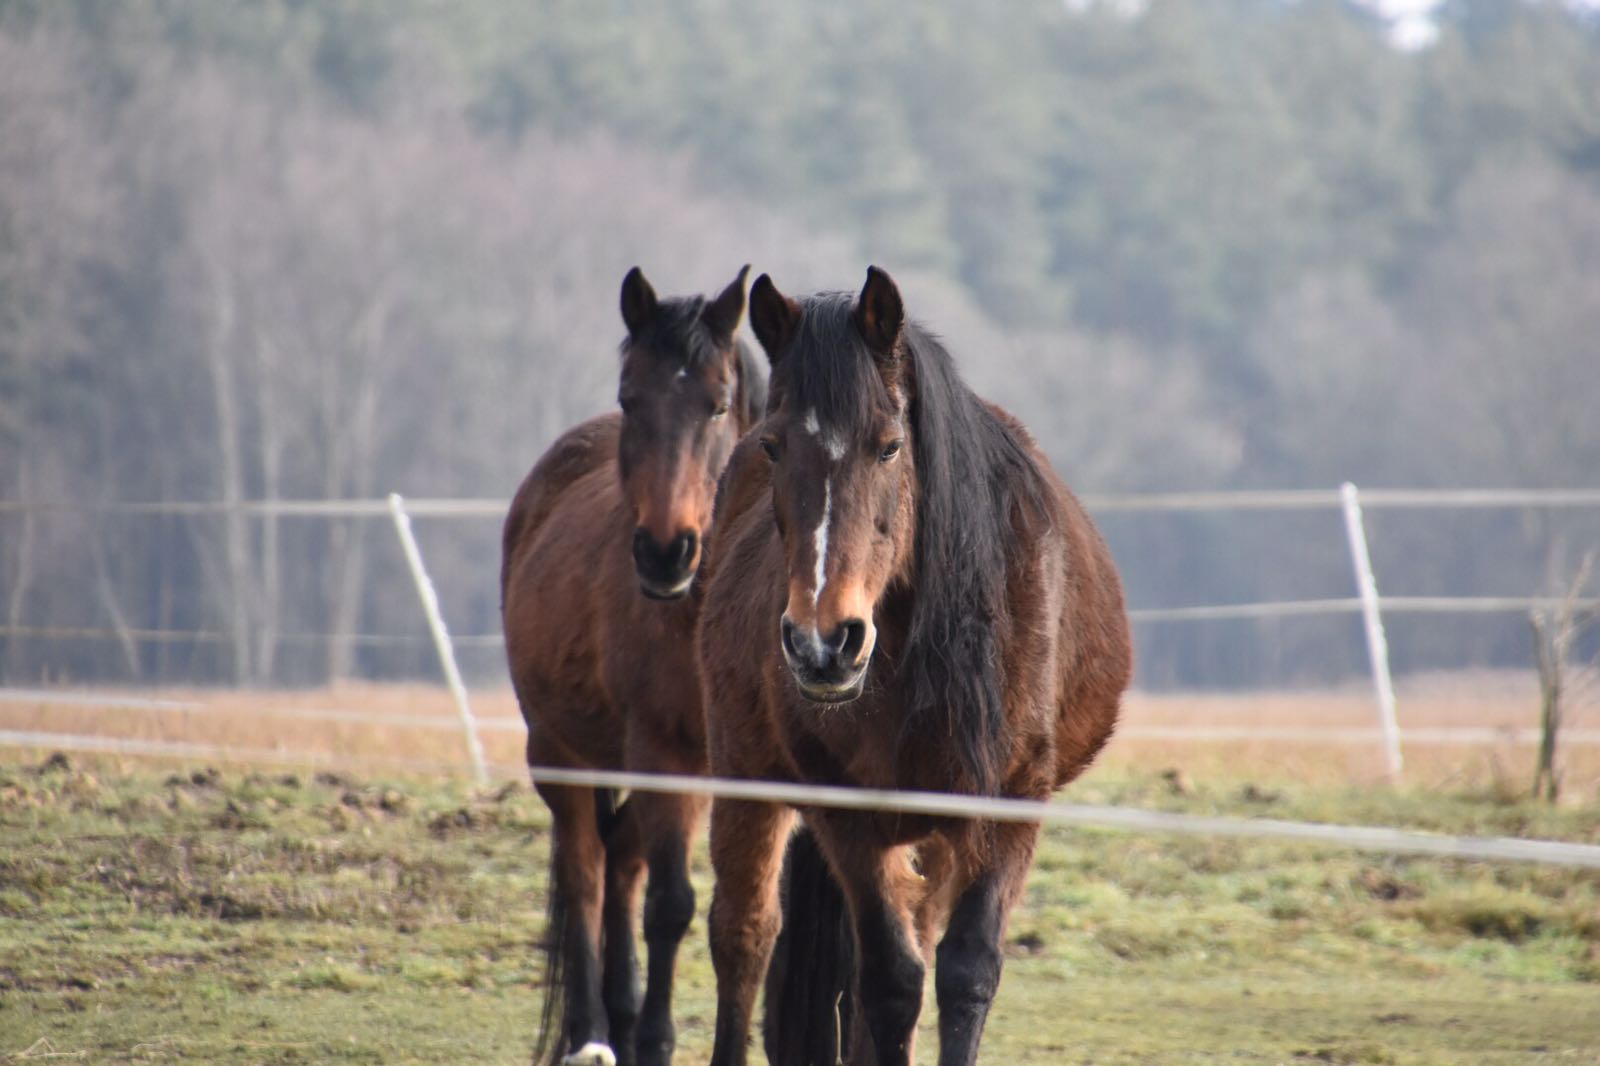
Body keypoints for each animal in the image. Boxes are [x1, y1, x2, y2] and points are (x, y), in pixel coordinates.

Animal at [505, 259, 768, 1062]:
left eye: (719, 406)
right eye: (631, 398)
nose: (663, 551)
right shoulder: (663, 753)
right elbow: (671, 904)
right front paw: (654, 1039)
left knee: (620, 860)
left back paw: (616, 1014)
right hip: (558, 751)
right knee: (588, 871)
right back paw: (593, 1032)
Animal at [700, 265, 1139, 1062]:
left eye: (889, 446)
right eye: (775, 447)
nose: (823, 643)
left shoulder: (1009, 803)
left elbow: (966, 972)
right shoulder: (851, 818)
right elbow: (891, 980)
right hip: (747, 777)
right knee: (745, 939)